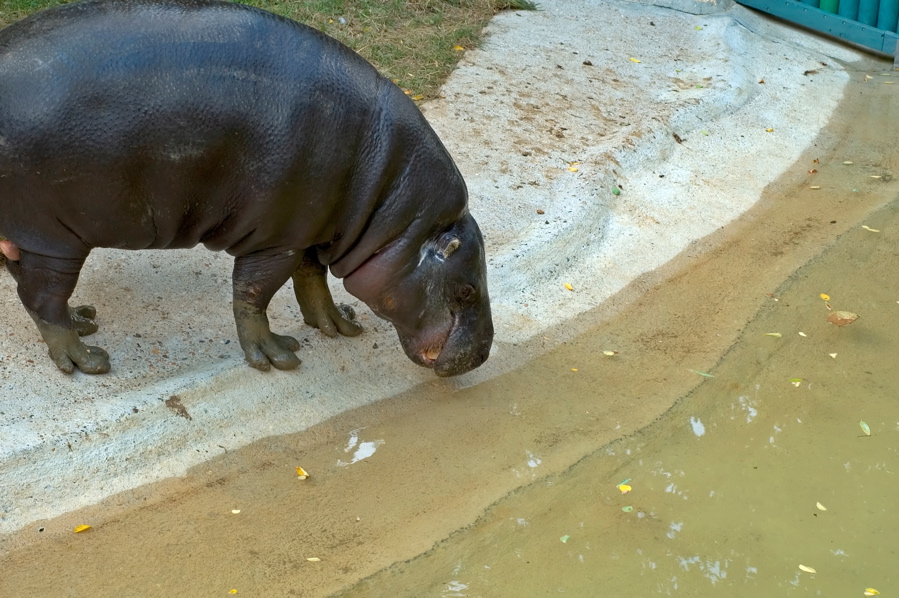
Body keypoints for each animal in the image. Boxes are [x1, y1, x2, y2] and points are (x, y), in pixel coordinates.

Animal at [0, 0, 492, 378]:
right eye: (467, 291)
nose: (485, 353)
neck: (398, 216)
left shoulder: (310, 226)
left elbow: (311, 279)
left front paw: (338, 324)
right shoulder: (275, 237)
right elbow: (254, 292)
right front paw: (276, 356)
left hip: (31, 237)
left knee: (31, 288)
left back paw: (83, 321)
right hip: (54, 237)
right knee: (41, 297)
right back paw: (86, 361)